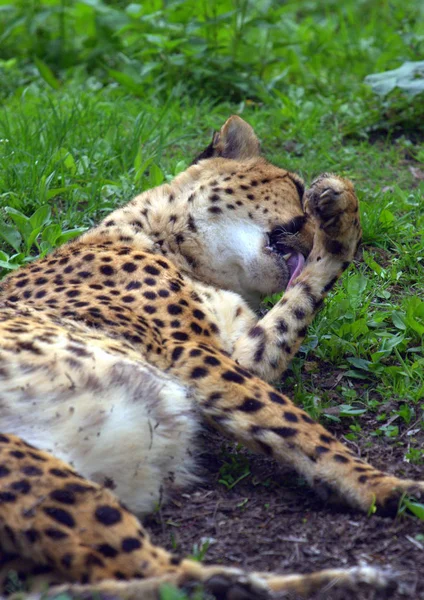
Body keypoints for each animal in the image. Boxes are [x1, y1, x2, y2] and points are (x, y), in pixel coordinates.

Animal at [0, 115, 422, 596]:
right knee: (160, 573)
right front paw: (385, 486)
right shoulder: (190, 354)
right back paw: (338, 582)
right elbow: (297, 425)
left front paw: (341, 219)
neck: (166, 241)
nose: (312, 215)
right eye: (294, 186)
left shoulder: (234, 354)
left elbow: (302, 299)